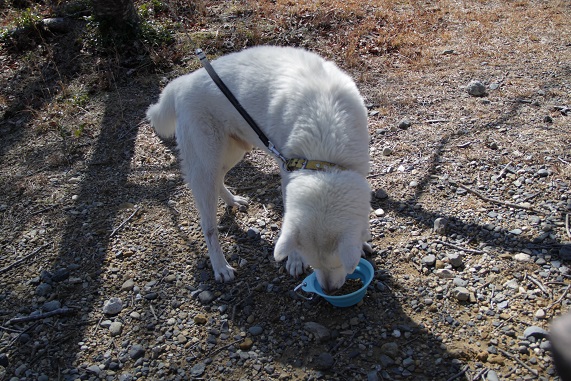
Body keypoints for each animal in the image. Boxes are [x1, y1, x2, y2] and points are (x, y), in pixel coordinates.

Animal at [145, 46, 374, 290]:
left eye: (339, 264)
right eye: (314, 263)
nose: (327, 289)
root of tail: (181, 83)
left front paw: (363, 241)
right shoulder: (287, 175)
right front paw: (294, 261)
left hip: (232, 153)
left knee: (219, 180)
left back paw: (233, 200)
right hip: (205, 164)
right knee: (208, 225)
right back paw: (221, 268)